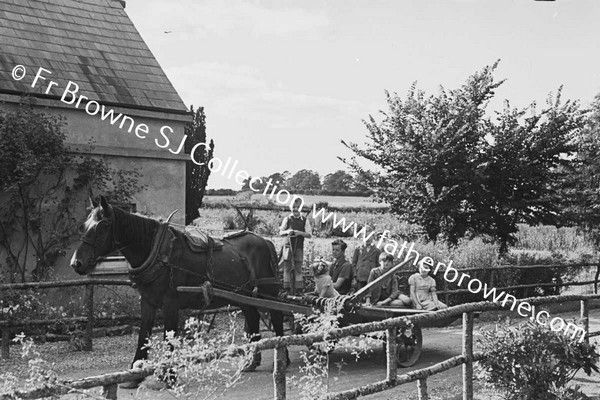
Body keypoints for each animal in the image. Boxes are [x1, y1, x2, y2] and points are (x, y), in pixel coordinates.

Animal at [70, 196, 286, 388]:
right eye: (83, 226)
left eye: (102, 227)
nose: (76, 263)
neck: (158, 252)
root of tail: (266, 241)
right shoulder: (147, 302)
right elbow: (143, 335)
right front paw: (135, 374)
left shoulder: (170, 304)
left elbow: (169, 338)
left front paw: (169, 375)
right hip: (244, 296)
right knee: (253, 319)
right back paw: (251, 361)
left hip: (268, 292)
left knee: (276, 316)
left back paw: (281, 354)